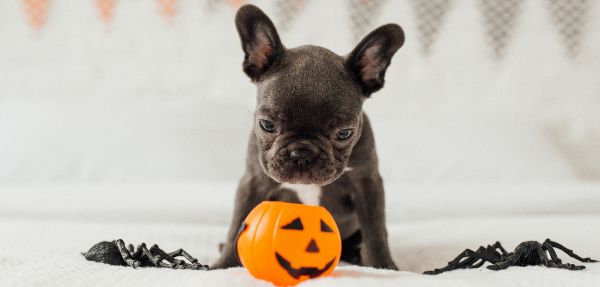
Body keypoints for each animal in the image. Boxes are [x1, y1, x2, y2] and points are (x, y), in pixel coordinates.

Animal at [213, 3, 406, 272]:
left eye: (344, 133)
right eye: (267, 125)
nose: (301, 153)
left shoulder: (367, 184)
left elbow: (375, 231)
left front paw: (382, 267)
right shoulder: (253, 182)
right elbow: (238, 224)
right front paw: (223, 266)